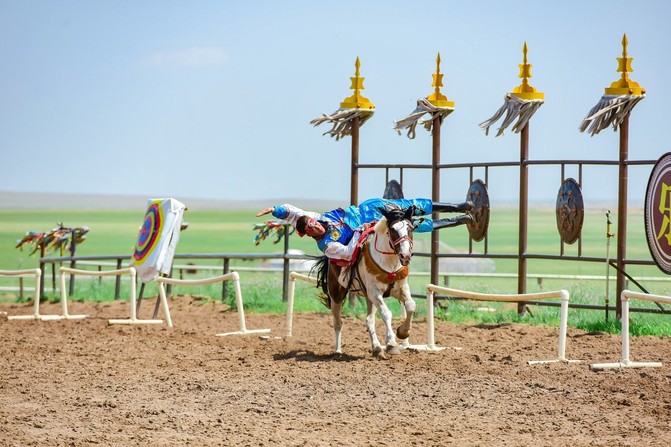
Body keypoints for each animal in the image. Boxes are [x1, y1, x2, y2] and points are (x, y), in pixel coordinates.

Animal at [314, 206, 418, 356]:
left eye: (410, 228)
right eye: (393, 230)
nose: (405, 255)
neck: (389, 263)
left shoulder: (400, 288)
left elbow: (410, 305)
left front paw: (402, 332)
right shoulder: (375, 293)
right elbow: (386, 313)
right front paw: (392, 344)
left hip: (368, 298)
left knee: (369, 320)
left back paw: (377, 348)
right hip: (336, 295)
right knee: (338, 322)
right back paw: (338, 350)